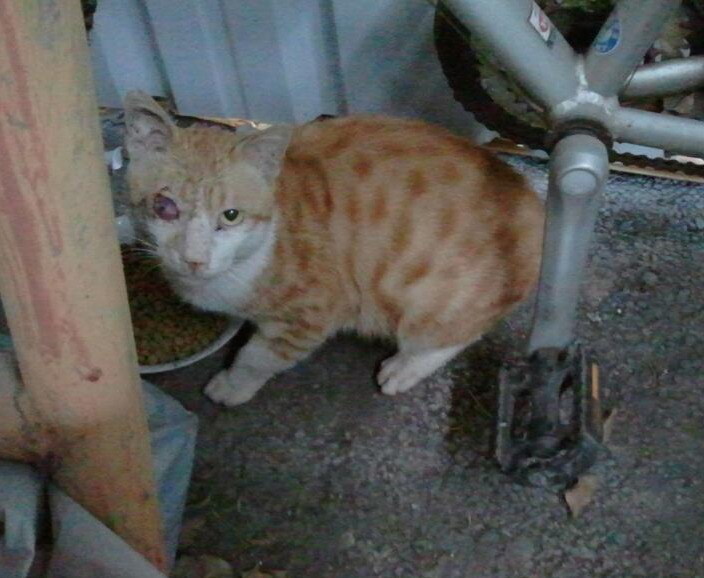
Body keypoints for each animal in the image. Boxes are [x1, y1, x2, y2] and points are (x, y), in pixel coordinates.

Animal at [123, 91, 544, 407]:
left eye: (230, 216)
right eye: (164, 207)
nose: (194, 259)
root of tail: (535, 203)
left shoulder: (317, 311)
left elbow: (257, 357)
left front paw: (232, 385)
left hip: (429, 299)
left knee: (455, 333)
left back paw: (405, 367)